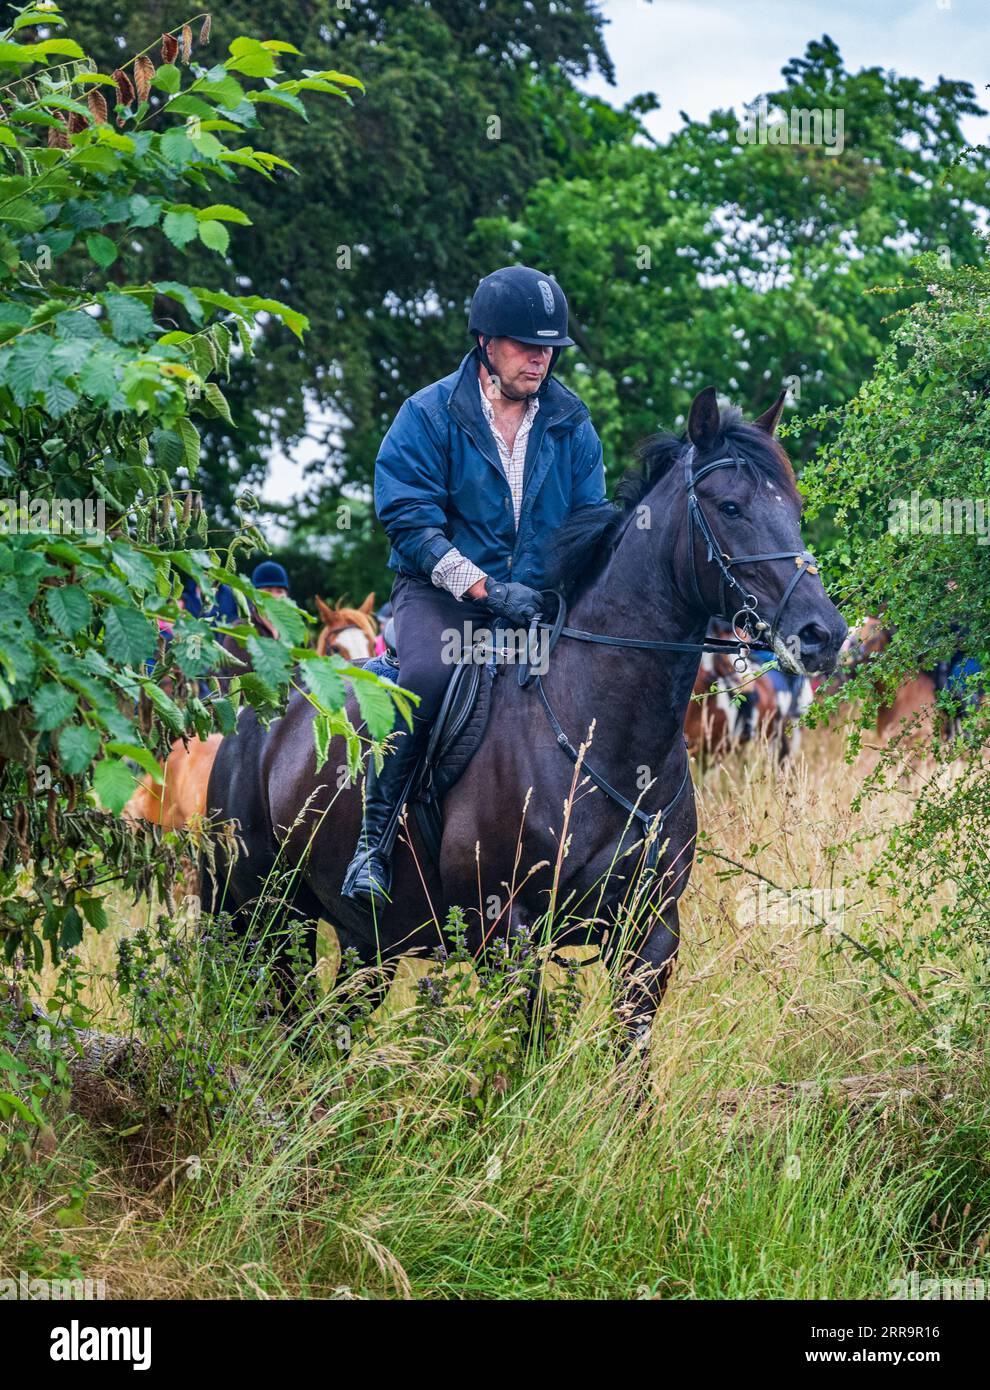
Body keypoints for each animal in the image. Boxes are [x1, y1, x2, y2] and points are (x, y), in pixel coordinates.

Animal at [204, 386, 845, 1045]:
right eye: (731, 506)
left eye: (794, 509)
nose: (823, 634)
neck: (597, 732)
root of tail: (254, 712)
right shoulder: (504, 933)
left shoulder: (650, 933)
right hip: (261, 917)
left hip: (366, 941)